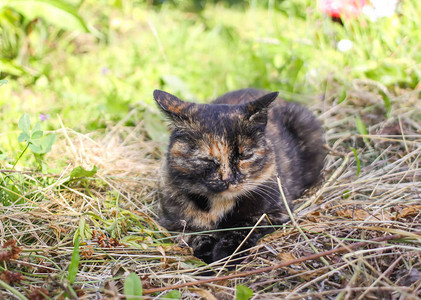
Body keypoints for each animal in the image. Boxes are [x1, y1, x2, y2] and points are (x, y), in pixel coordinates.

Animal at [152, 88, 324, 264]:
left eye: (245, 156)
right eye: (207, 160)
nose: (229, 179)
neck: (219, 205)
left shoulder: (275, 213)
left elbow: (244, 229)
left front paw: (224, 254)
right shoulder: (173, 223)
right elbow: (193, 236)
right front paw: (206, 251)